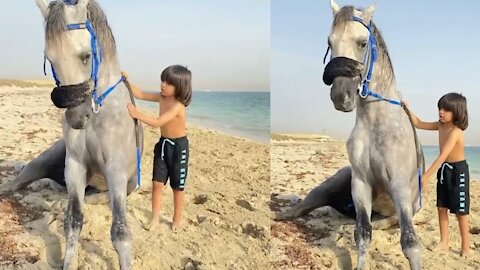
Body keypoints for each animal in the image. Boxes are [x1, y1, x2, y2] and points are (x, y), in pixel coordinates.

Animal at [1, 1, 142, 268]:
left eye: (86, 55)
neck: (100, 113)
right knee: (15, 183)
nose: (77, 118)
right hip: (41, 163)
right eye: (50, 59)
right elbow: (74, 220)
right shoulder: (75, 166)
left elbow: (120, 230)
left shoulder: (116, 171)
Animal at [278, 1, 424, 268]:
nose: (341, 95)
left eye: (363, 43)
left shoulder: (400, 188)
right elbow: (363, 233)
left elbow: (409, 241)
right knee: (300, 209)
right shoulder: (361, 184)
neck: (378, 124)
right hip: (328, 186)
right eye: (330, 42)